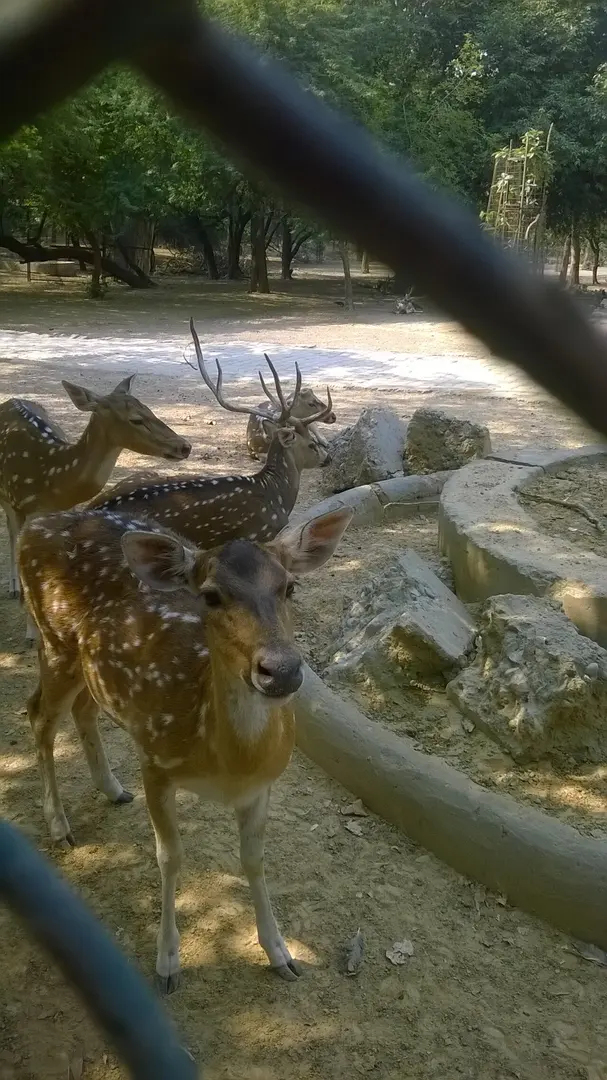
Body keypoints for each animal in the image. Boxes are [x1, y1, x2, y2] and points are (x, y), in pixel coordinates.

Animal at [0, 375, 191, 600]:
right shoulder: (18, 500)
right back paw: (14, 587)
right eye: (136, 419)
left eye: (149, 409)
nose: (185, 446)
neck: (53, 479)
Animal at [18, 502, 353, 991]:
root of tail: (35, 522)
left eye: (290, 586)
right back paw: (60, 825)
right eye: (210, 595)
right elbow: (170, 856)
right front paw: (168, 963)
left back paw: (112, 789)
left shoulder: (264, 785)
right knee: (38, 714)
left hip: (92, 668)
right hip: (54, 641)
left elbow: (254, 859)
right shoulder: (154, 761)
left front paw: (281, 954)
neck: (226, 761)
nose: (282, 670)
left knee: (82, 709)